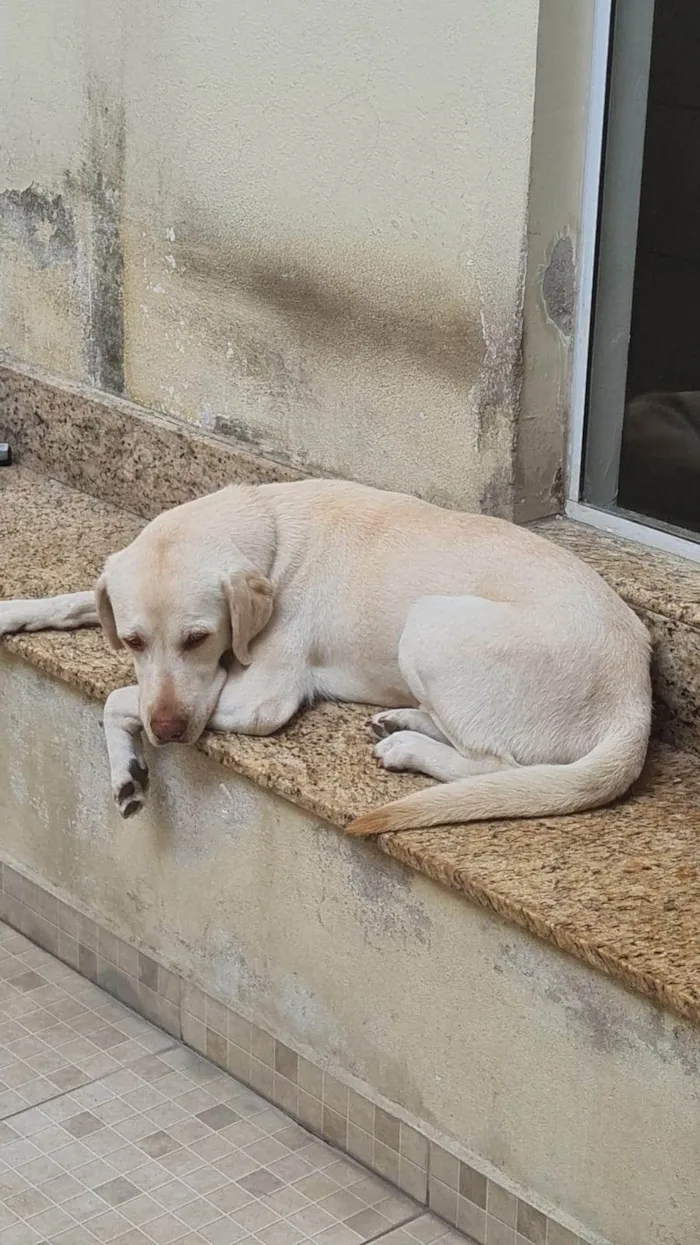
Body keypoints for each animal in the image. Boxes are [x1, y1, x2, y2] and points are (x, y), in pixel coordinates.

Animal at [0, 478, 647, 836]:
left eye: (198, 638)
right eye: (133, 641)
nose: (168, 731)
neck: (270, 534)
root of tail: (636, 695)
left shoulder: (262, 700)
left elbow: (117, 697)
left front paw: (128, 769)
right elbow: (80, 601)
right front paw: (15, 611)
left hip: (430, 624)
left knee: (496, 765)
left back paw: (408, 746)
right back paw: (404, 718)